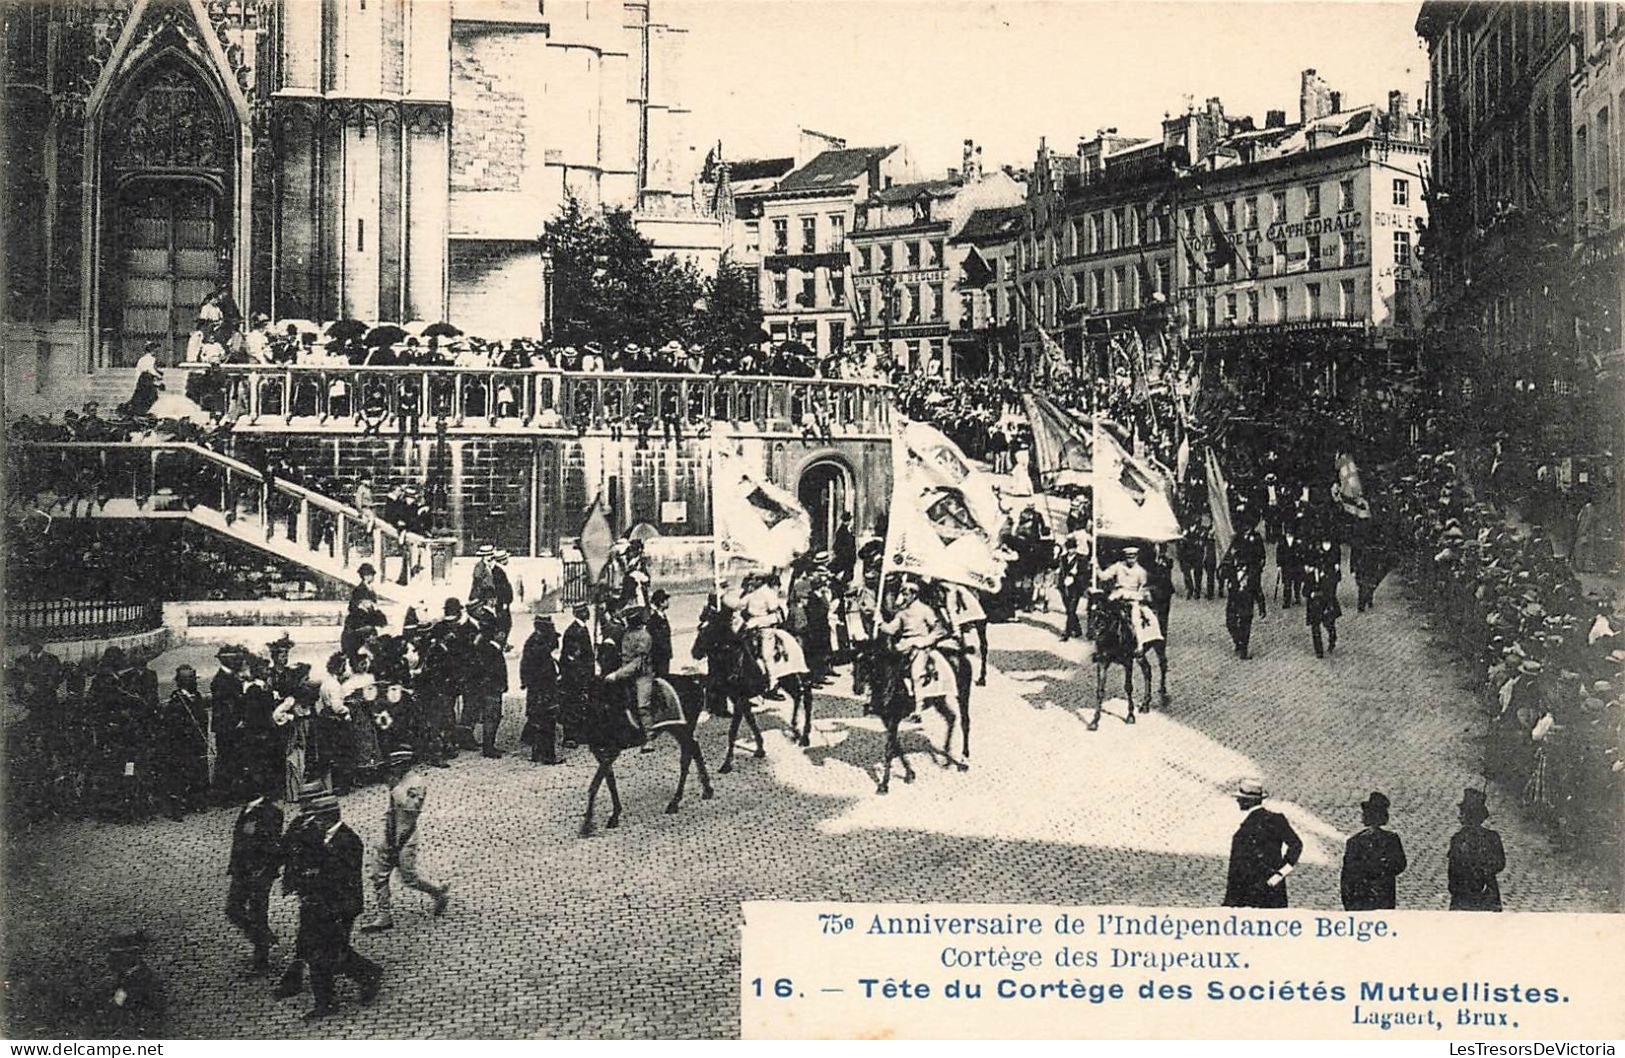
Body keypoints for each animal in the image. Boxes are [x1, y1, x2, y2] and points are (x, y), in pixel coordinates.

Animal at [581, 676, 715, 838]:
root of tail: (695, 683)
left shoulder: (612, 751)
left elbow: (595, 785)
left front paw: (587, 826)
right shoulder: (600, 752)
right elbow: (610, 781)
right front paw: (615, 815)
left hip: (681, 728)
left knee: (686, 757)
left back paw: (674, 803)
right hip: (679, 729)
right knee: (694, 748)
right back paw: (707, 790)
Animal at [1092, 591, 1157, 731]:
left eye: (1107, 613)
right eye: (1093, 611)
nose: (1094, 629)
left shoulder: (1128, 661)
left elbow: (1128, 687)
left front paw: (1130, 716)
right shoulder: (1102, 661)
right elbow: (1100, 689)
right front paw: (1094, 721)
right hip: (1140, 655)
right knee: (1147, 669)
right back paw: (1145, 704)